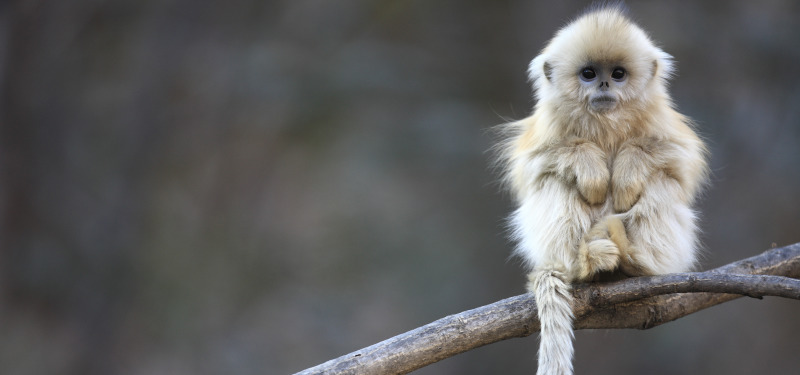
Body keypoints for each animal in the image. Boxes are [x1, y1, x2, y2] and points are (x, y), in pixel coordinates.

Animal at [496, 3, 708, 375]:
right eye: (589, 73)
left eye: (619, 73)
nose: (606, 83)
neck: (605, 124)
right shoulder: (545, 130)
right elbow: (534, 165)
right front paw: (592, 171)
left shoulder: (665, 126)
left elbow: (679, 161)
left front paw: (625, 173)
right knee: (555, 180)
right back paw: (586, 264)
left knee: (662, 181)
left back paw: (636, 261)